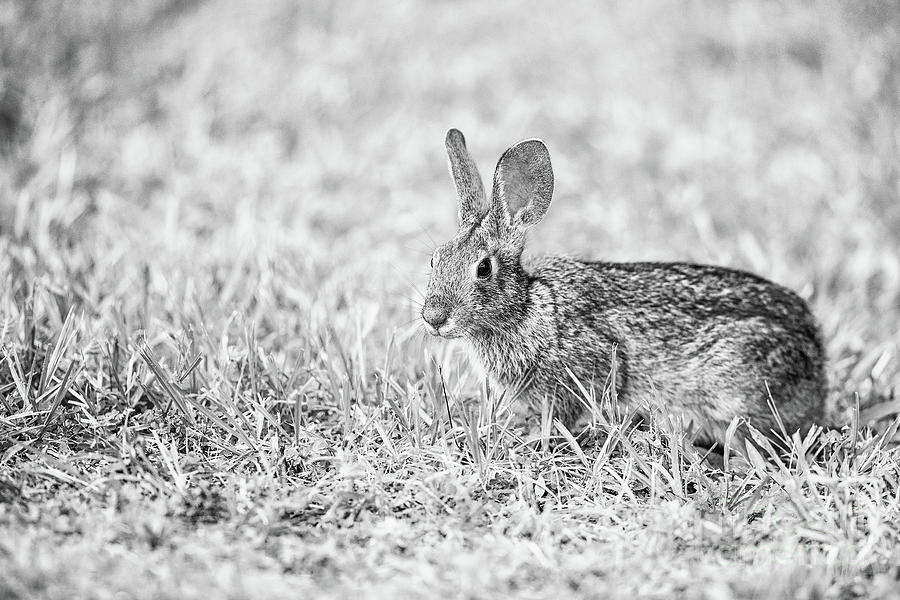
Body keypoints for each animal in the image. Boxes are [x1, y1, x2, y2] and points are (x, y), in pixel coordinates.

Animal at [426, 127, 828, 446]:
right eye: (435, 259)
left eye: (483, 269)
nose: (433, 318)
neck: (526, 308)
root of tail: (818, 362)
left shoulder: (584, 371)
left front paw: (533, 439)